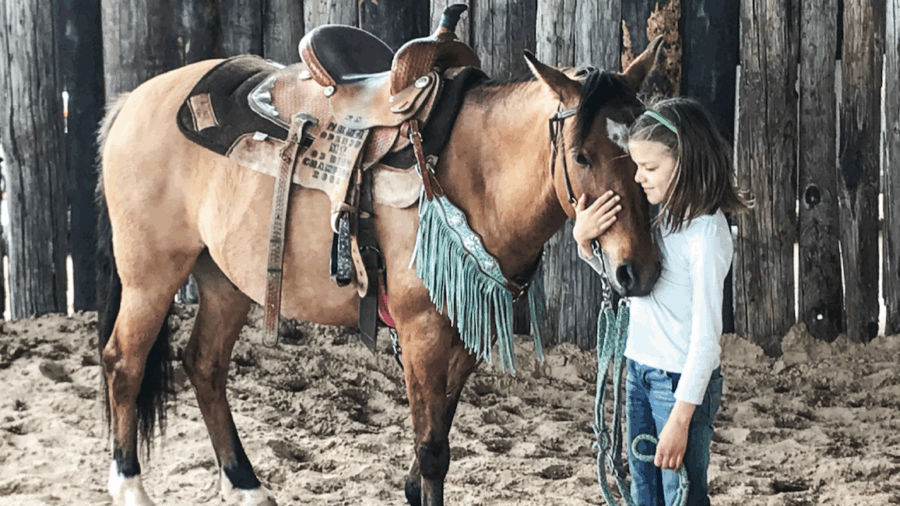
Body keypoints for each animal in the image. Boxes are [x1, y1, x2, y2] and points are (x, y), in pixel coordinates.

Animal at [95, 33, 664, 506]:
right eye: (582, 156)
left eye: (644, 154)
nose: (637, 272)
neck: (475, 173)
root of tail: (132, 101)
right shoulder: (421, 329)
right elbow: (433, 450)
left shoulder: (462, 333)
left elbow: (439, 434)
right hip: (151, 273)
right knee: (124, 362)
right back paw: (130, 489)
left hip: (226, 279)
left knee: (205, 364)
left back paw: (247, 486)